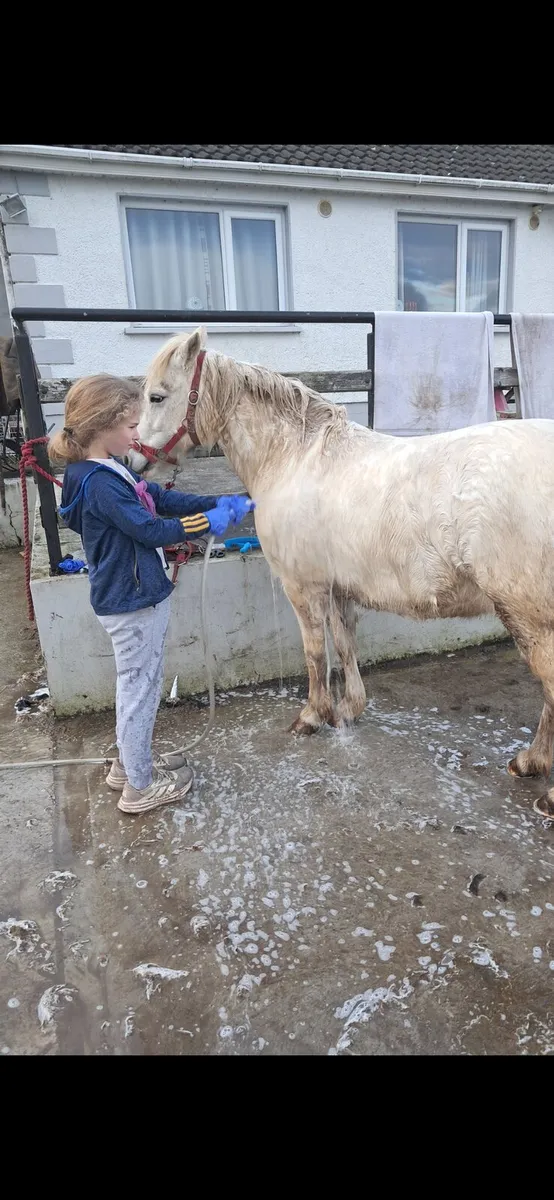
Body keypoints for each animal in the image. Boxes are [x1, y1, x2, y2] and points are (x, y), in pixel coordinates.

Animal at [129, 326, 554, 820]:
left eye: (158, 396)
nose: (136, 461)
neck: (293, 458)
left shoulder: (303, 587)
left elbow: (316, 653)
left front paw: (312, 716)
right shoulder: (337, 588)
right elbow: (346, 644)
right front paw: (349, 710)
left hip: (527, 616)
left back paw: (541, 780)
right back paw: (530, 763)